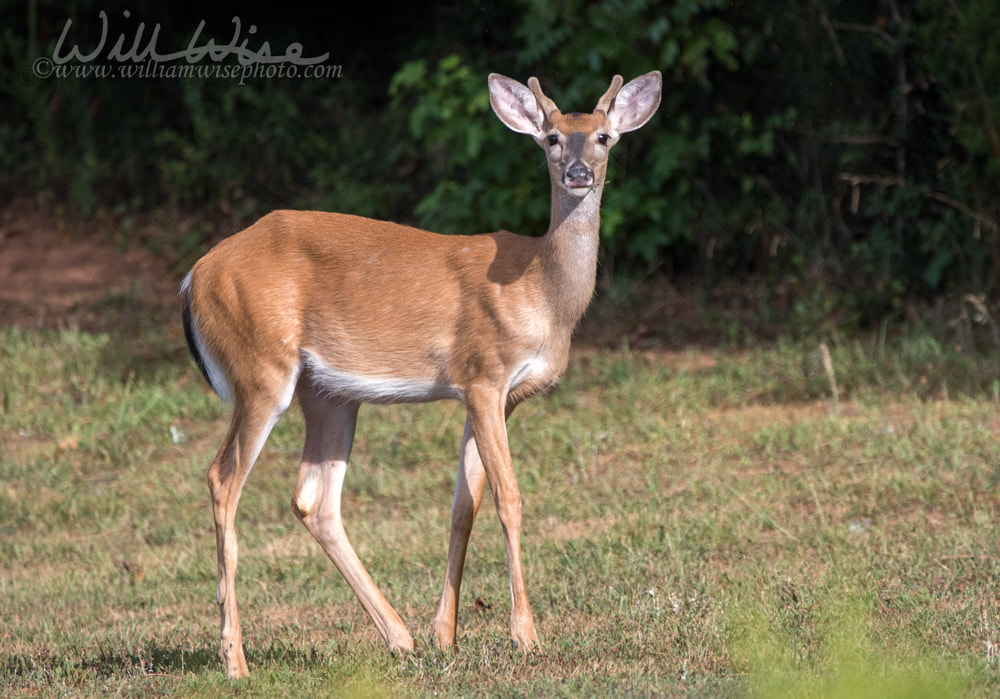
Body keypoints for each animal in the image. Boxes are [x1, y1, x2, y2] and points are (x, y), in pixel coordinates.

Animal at [180, 69, 664, 680]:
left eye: (604, 137)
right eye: (552, 138)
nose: (579, 173)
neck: (543, 294)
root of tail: (194, 277)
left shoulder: (496, 396)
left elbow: (464, 505)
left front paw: (446, 635)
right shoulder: (482, 373)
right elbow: (509, 498)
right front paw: (526, 636)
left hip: (329, 393)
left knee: (314, 499)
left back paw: (400, 638)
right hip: (260, 368)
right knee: (223, 480)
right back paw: (236, 660)